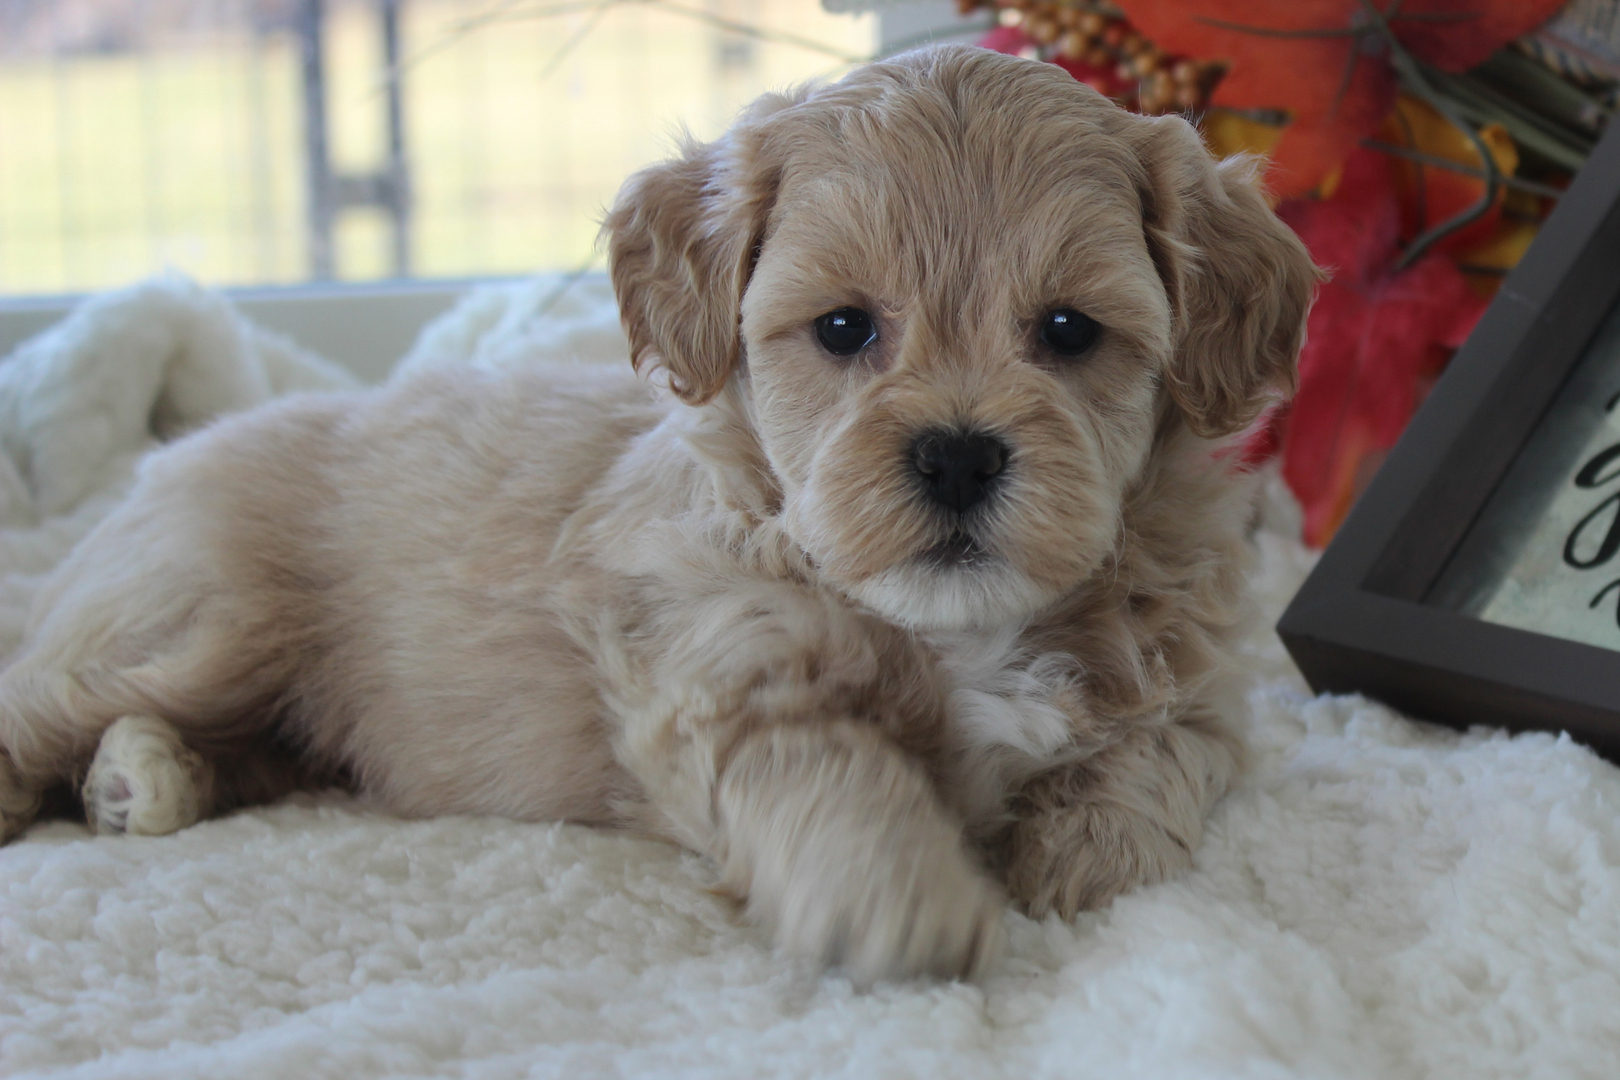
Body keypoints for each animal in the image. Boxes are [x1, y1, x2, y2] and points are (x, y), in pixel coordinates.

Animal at [0, 48, 1315, 977]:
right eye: (845, 327)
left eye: (1069, 331)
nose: (954, 456)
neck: (957, 632)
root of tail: (167, 462)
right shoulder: (721, 676)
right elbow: (838, 776)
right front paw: (905, 904)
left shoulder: (1196, 678)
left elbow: (1163, 756)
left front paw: (1082, 854)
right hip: (200, 623)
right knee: (42, 705)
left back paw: (142, 781)